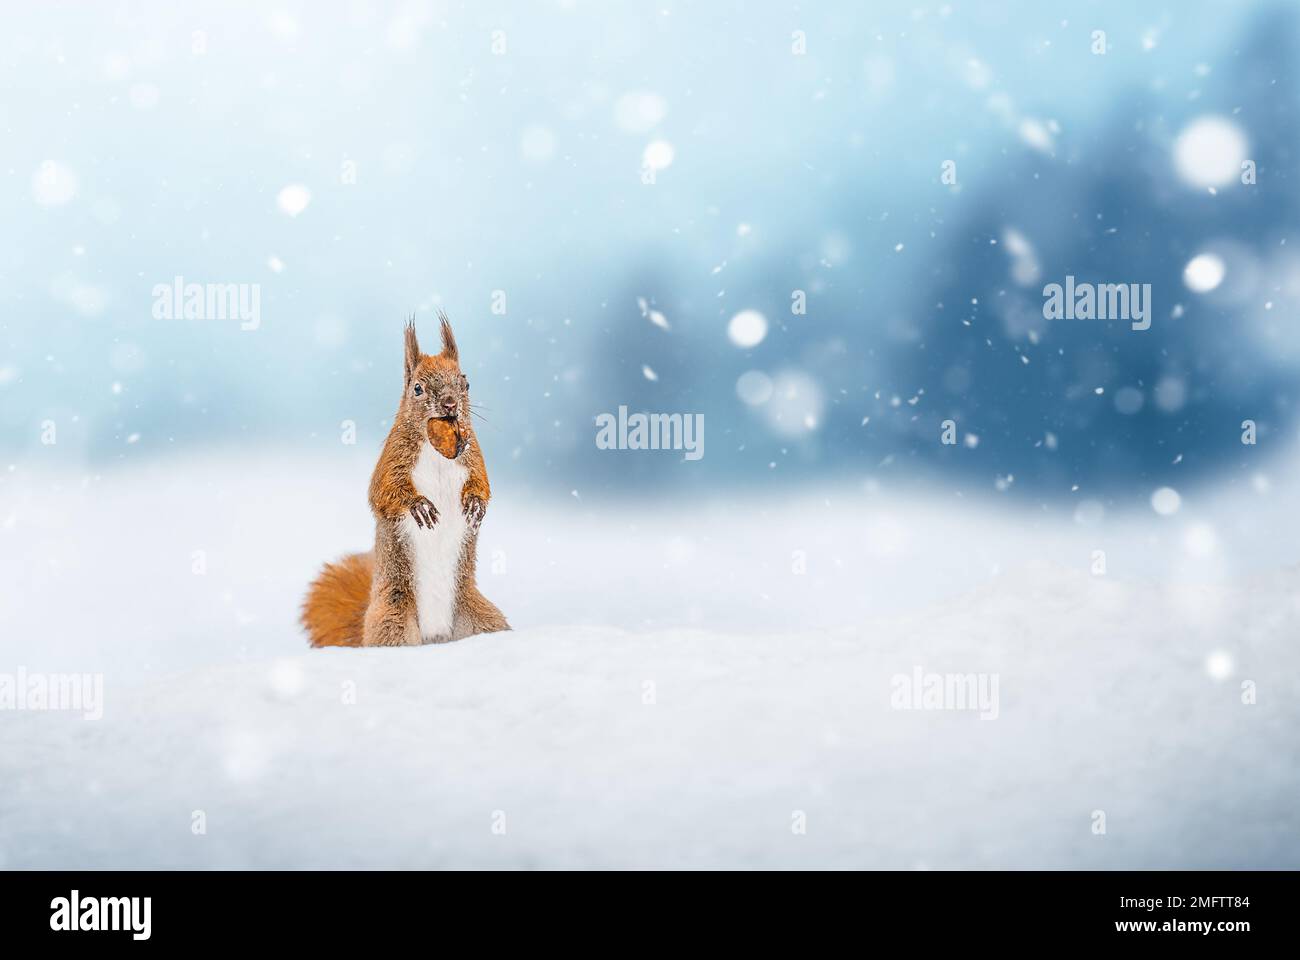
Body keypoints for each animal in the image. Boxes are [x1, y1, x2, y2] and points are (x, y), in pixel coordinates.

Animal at [301, 313, 510, 646]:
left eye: (465, 382)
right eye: (417, 388)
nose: (450, 404)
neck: (438, 449)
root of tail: (435, 635)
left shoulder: (473, 455)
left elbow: (482, 481)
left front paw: (476, 503)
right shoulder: (392, 458)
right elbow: (383, 491)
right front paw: (418, 505)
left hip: (479, 618)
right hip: (394, 618)